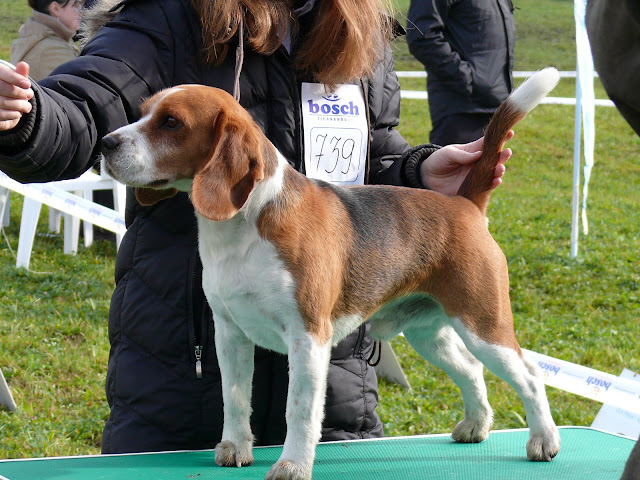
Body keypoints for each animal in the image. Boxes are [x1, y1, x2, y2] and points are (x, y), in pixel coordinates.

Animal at [101, 67, 561, 480]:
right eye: (142, 112)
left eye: (171, 122)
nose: (105, 143)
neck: (243, 227)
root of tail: (464, 204)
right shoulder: (229, 333)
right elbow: (234, 397)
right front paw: (235, 447)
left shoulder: (308, 338)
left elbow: (300, 411)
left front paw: (292, 465)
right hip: (429, 334)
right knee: (472, 370)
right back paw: (477, 425)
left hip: (483, 324)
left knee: (530, 376)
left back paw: (544, 440)